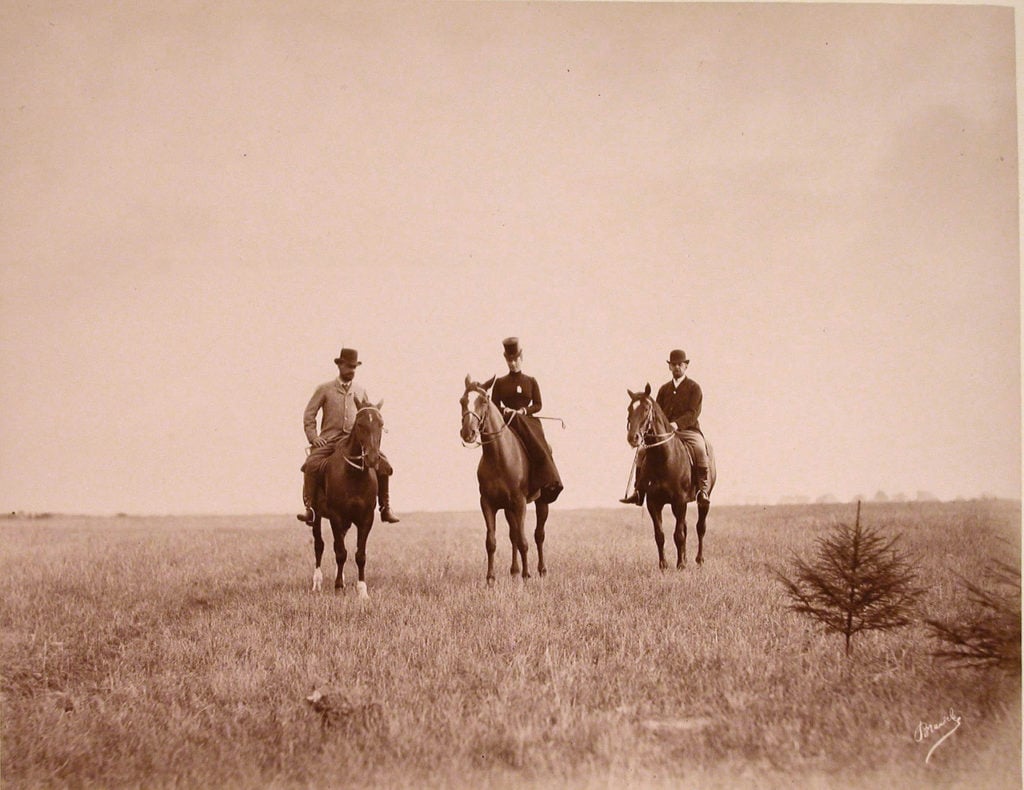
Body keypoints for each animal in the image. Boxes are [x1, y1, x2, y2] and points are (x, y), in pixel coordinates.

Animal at [309, 398, 385, 597]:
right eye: (360, 424)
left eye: (381, 424)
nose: (372, 458)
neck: (353, 475)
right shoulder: (336, 516)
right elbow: (340, 552)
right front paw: (338, 587)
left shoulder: (366, 518)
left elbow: (360, 555)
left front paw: (362, 590)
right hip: (317, 516)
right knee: (319, 545)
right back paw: (317, 583)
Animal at [460, 375, 547, 584]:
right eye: (462, 401)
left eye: (483, 401)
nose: (468, 433)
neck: (500, 457)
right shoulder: (488, 504)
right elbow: (491, 542)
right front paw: (490, 579)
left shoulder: (520, 503)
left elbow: (524, 541)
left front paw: (526, 576)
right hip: (508, 509)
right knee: (513, 535)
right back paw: (514, 570)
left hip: (541, 502)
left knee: (538, 535)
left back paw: (541, 570)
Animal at [626, 384, 717, 569]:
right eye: (629, 409)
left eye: (646, 409)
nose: (633, 438)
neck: (663, 457)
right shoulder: (653, 503)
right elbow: (660, 535)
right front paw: (664, 565)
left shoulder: (679, 501)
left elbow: (678, 534)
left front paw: (680, 565)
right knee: (687, 527)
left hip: (703, 501)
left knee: (700, 528)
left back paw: (699, 560)